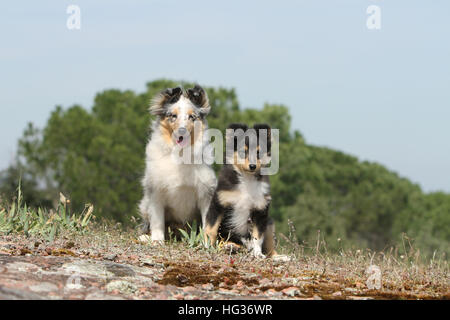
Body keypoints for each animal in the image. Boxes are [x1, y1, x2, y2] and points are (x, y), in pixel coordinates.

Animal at [141, 86, 218, 241]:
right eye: (173, 116)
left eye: (192, 117)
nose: (182, 132)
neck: (180, 154)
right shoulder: (155, 191)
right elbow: (157, 221)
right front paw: (157, 241)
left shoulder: (206, 193)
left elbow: (207, 223)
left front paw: (205, 243)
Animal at [205, 122, 278, 258]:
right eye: (243, 152)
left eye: (259, 152)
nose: (253, 166)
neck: (247, 179)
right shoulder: (218, 203)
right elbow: (211, 229)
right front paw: (206, 246)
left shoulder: (260, 211)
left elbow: (257, 236)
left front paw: (257, 254)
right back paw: (230, 247)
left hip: (270, 223)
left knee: (270, 250)